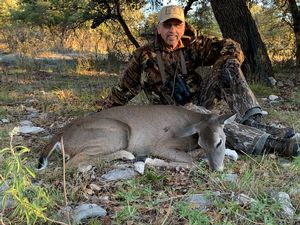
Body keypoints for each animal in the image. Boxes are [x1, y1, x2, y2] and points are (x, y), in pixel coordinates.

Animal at [37, 105, 234, 171]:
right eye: (203, 141)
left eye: (219, 142)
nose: (216, 169)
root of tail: (61, 134)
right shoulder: (162, 145)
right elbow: (191, 161)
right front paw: (154, 162)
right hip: (117, 132)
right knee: (73, 162)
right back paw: (127, 156)